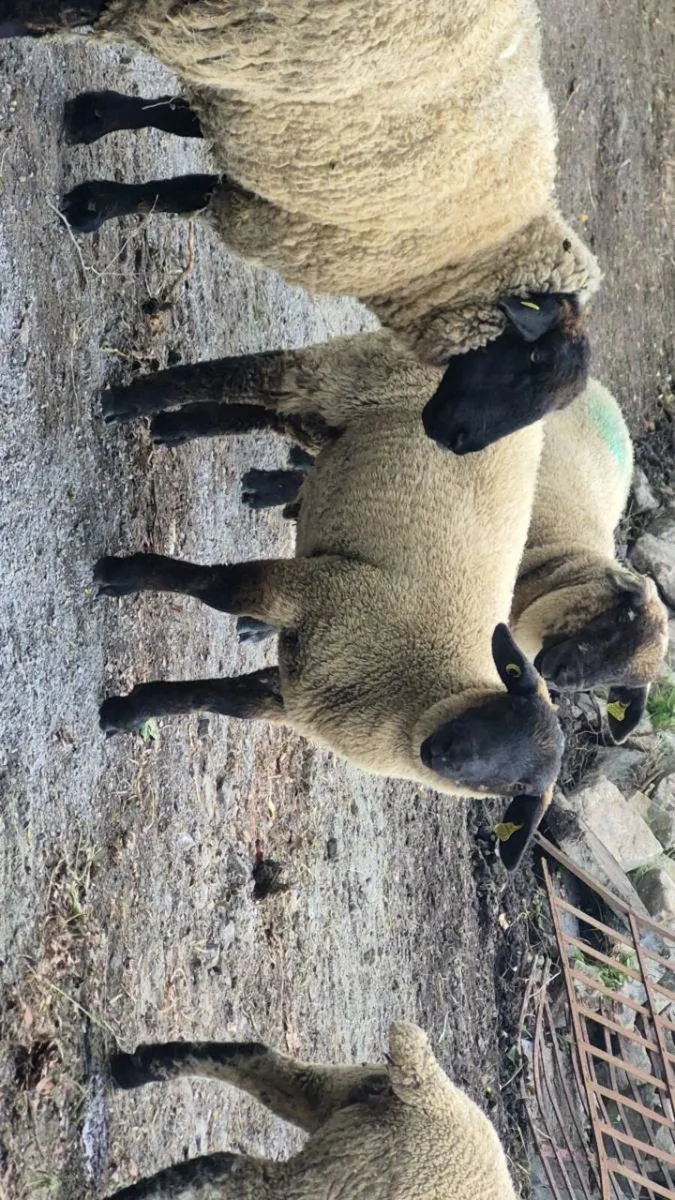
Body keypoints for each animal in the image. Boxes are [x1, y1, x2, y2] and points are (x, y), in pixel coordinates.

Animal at [13, 0, 599, 452]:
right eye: (533, 357)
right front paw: (93, 204)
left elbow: (171, 122)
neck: (458, 245)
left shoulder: (269, 126)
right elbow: (176, 190)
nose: (458, 444)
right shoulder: (286, 196)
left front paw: (94, 121)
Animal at [94, 403, 563, 872]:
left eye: (519, 789)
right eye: (505, 706)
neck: (414, 690)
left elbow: (220, 700)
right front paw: (122, 575)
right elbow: (214, 588)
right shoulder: (320, 591)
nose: (444, 755)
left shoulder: (299, 692)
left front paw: (130, 711)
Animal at [106, 1020, 517, 1199]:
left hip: (335, 1096)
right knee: (232, 1172)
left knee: (255, 1058)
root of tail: (427, 1092)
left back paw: (133, 1067)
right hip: (342, 1179)